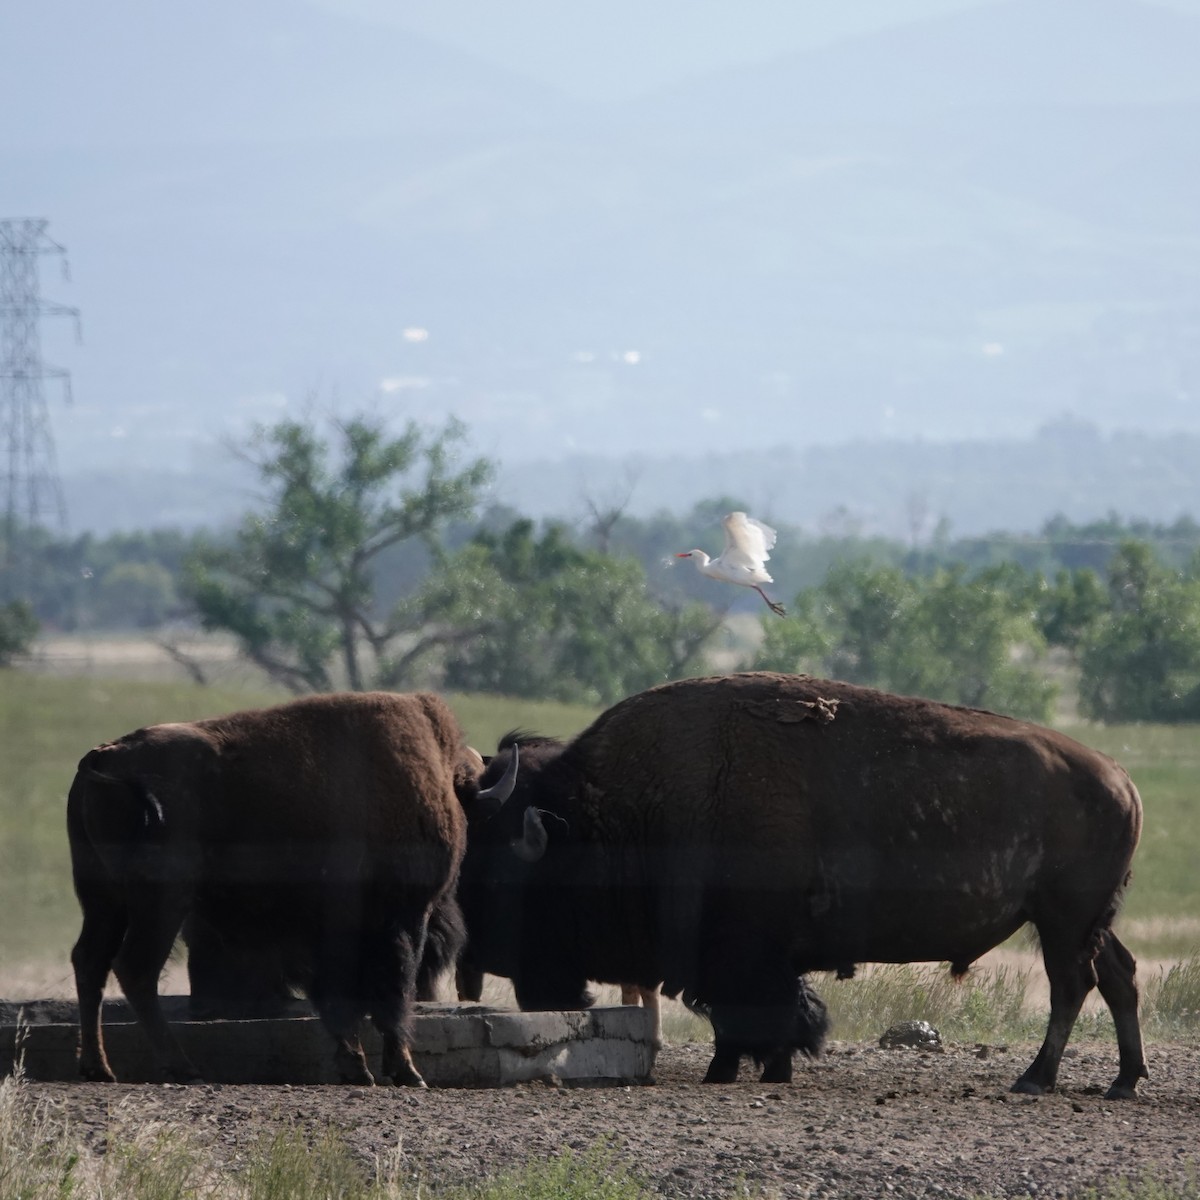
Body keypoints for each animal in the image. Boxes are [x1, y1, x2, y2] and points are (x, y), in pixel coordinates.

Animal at [69, 686, 477, 1089]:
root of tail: (104, 756)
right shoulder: (403, 916)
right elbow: (391, 993)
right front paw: (405, 1072)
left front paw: (357, 1067)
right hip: (161, 902)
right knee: (136, 968)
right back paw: (181, 1067)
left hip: (104, 900)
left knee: (90, 961)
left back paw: (98, 1068)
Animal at [456, 672, 1142, 1099]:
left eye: (495, 873)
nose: (472, 955)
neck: (615, 816)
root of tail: (1121, 778)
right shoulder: (736, 961)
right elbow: (750, 1017)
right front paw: (743, 1071)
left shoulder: (744, 956)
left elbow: (758, 1015)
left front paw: (747, 1072)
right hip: (1085, 922)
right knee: (1118, 977)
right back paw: (1122, 1082)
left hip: (1062, 922)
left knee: (1072, 986)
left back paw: (1036, 1079)